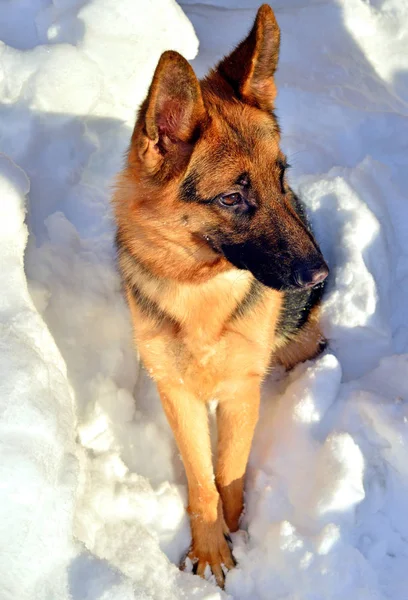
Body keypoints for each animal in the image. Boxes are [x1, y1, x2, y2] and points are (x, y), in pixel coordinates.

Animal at [112, 3, 328, 584]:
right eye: (232, 198)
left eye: (281, 177)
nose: (321, 274)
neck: (199, 289)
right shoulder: (177, 394)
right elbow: (201, 479)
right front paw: (210, 550)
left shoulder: (239, 392)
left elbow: (229, 473)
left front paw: (239, 534)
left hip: (298, 341)